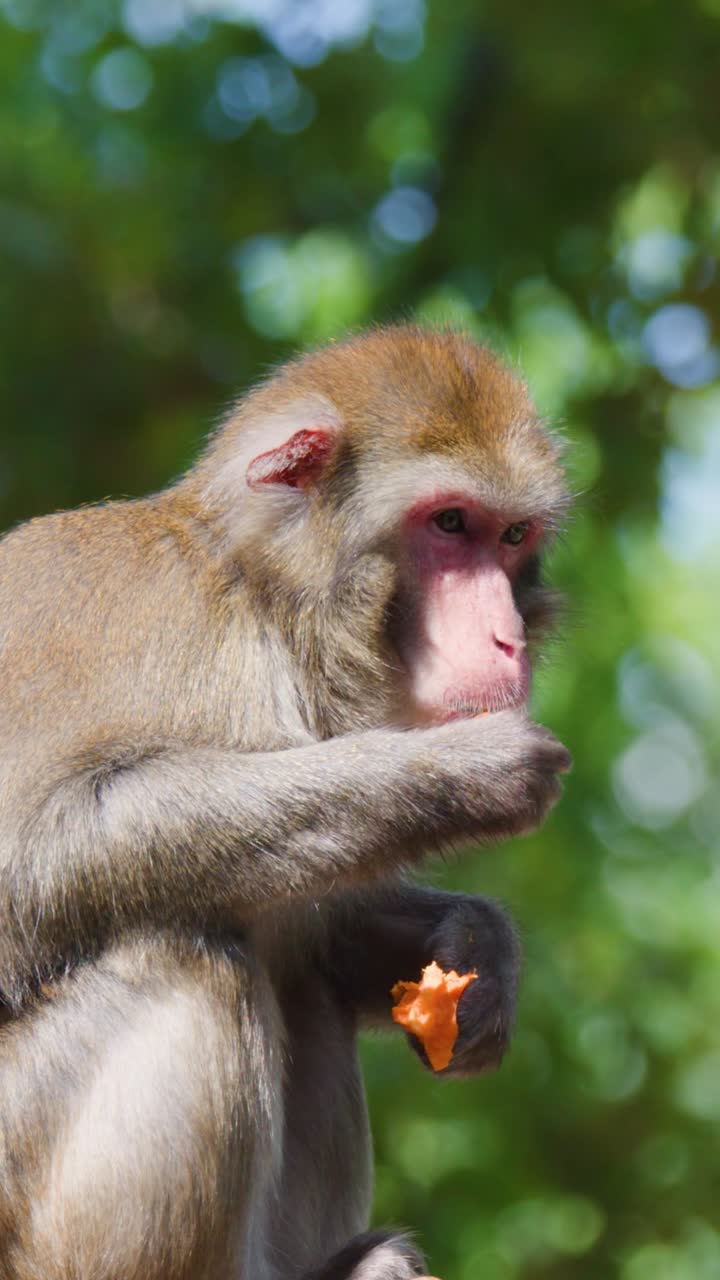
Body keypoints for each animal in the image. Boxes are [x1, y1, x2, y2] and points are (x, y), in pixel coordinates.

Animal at [0, 326, 571, 1280]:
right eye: (451, 524)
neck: (266, 604)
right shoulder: (174, 636)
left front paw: (481, 947)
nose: (507, 639)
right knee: (185, 957)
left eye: (512, 536)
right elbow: (36, 855)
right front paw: (451, 774)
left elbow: (326, 931)